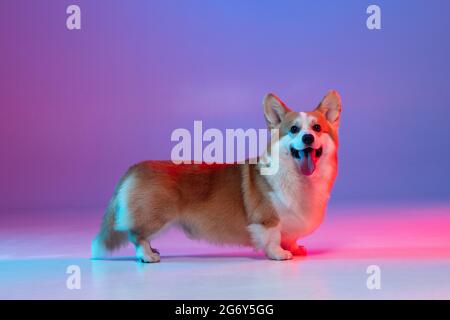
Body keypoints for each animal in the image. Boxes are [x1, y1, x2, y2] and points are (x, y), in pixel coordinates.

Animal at [93, 90, 342, 262]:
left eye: (317, 128)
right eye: (293, 130)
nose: (308, 138)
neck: (296, 175)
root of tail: (135, 168)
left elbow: (290, 237)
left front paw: (295, 248)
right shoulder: (267, 219)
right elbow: (272, 237)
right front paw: (279, 254)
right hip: (155, 217)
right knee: (136, 235)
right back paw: (148, 256)